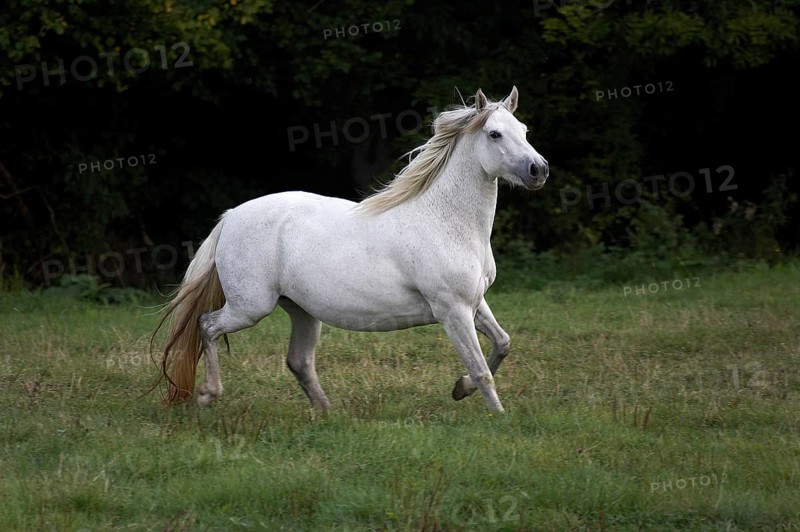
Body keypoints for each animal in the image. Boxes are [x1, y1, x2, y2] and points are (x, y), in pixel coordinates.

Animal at [152, 86, 548, 414]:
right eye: (495, 134)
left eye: (525, 130)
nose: (538, 170)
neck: (445, 221)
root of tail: (231, 217)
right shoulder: (453, 309)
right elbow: (481, 369)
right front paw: (498, 416)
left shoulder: (474, 302)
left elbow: (503, 343)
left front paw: (460, 390)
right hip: (250, 307)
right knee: (207, 326)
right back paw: (208, 395)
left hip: (300, 310)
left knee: (298, 361)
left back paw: (327, 413)